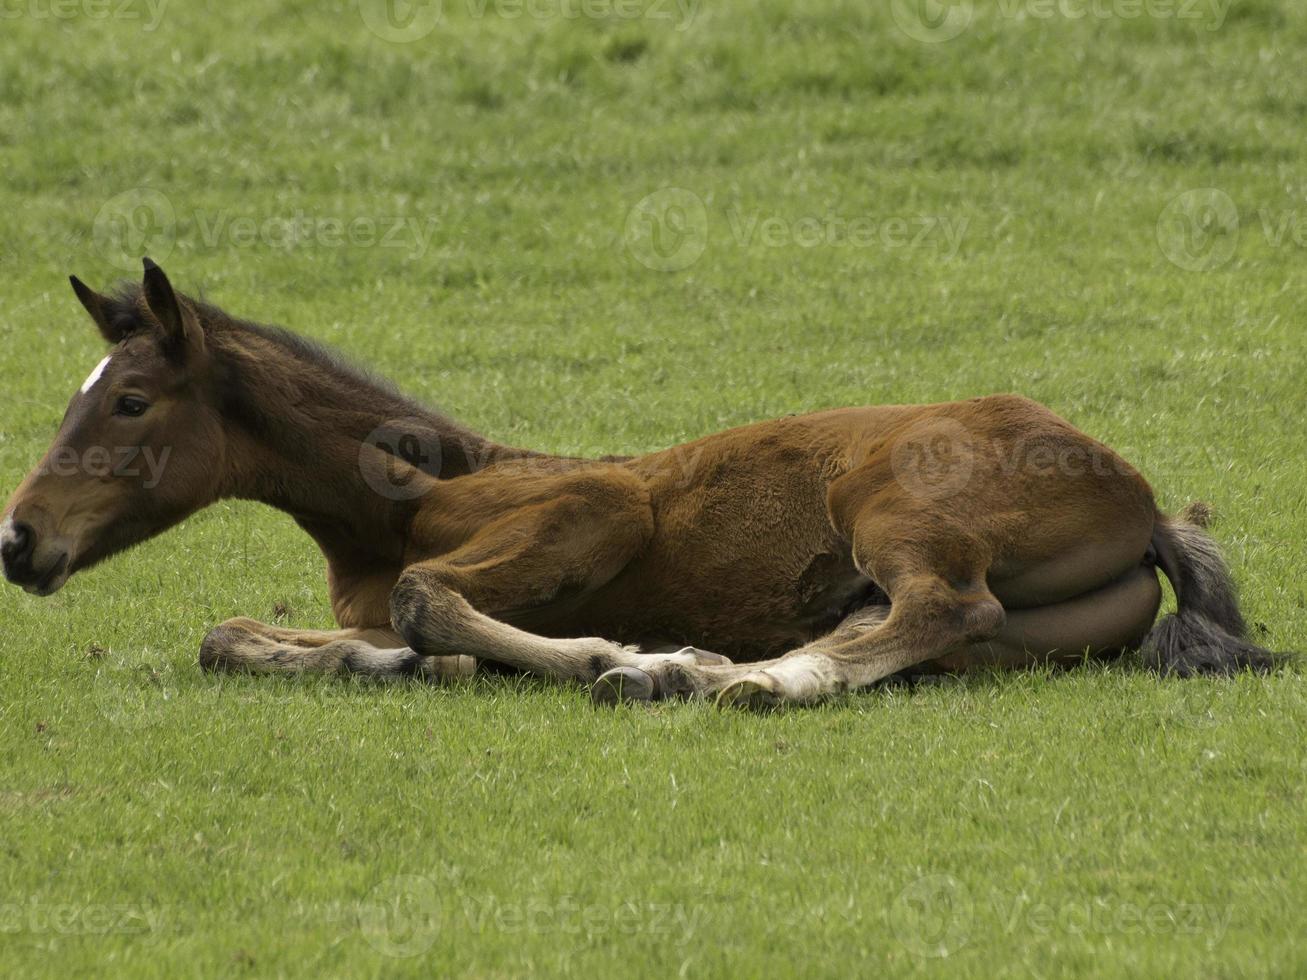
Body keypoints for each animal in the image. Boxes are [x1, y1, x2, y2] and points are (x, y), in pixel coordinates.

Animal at [0, 261, 1270, 705]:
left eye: (128, 400)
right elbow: (233, 635)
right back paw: (704, 667)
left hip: (893, 507)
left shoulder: (597, 510)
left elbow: (424, 597)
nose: (19, 540)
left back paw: (721, 678)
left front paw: (601, 652)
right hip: (1022, 631)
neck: (395, 504)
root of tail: (1140, 497)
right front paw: (404, 663)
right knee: (916, 631)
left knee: (940, 605)